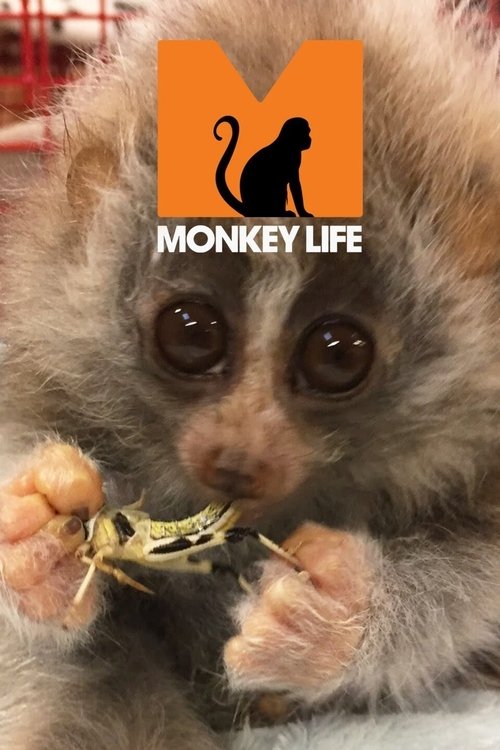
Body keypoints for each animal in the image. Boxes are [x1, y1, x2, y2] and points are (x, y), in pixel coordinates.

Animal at [0, 1, 499, 749]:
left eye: (337, 354)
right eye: (190, 333)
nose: (238, 458)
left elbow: (482, 580)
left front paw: (332, 614)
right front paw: (33, 530)